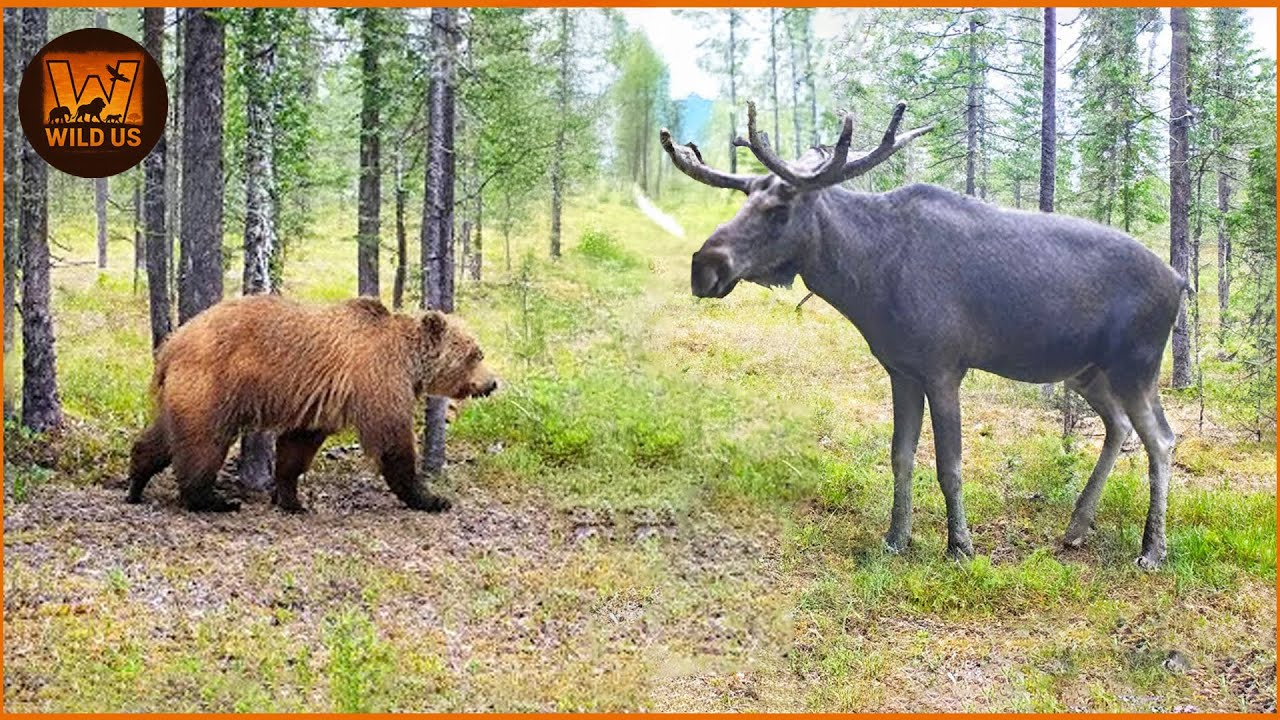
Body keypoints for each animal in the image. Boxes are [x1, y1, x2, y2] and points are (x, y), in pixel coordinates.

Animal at [124, 295, 498, 513]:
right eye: (475, 353)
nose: (493, 382)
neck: (410, 362)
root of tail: (172, 343)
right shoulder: (379, 381)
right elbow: (392, 442)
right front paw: (432, 498)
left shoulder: (320, 402)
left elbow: (297, 446)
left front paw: (291, 499)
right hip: (214, 385)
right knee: (203, 442)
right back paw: (213, 500)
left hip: (186, 392)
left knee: (165, 437)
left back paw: (136, 482)